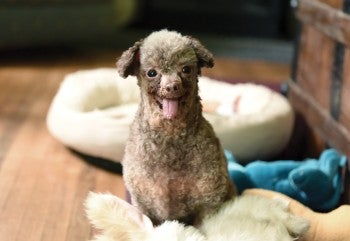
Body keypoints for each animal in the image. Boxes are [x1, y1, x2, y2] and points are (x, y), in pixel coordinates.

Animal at [117, 29, 235, 224]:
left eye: (186, 69)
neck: (170, 132)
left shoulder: (209, 200)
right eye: (152, 73)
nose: (172, 86)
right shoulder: (142, 201)